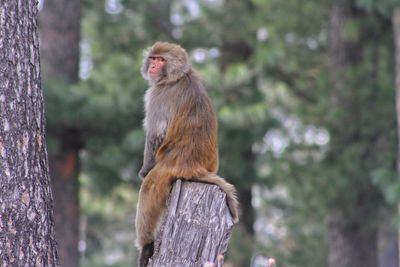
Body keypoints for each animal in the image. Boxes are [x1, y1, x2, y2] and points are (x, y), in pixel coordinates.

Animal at [136, 42, 239, 267]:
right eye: (153, 58)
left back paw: (146, 246)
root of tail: (192, 167)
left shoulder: (157, 95)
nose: (153, 66)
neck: (177, 76)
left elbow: (156, 134)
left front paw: (143, 171)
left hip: (165, 169)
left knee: (147, 191)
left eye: (161, 60)